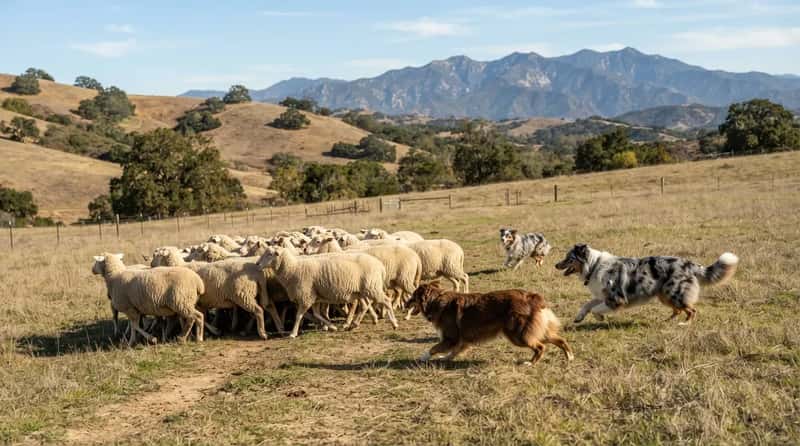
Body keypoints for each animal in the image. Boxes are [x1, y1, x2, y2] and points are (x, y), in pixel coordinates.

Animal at [150, 247, 283, 340]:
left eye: (157, 255)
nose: (151, 265)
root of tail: (257, 271)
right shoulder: (199, 302)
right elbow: (201, 316)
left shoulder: (185, 300)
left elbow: (193, 317)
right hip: (261, 292)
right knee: (269, 306)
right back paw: (280, 328)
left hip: (243, 294)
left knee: (258, 310)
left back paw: (262, 333)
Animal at [256, 246, 398, 338]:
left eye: (270, 254)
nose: (257, 264)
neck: (293, 268)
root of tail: (380, 265)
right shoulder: (313, 296)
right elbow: (318, 314)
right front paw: (332, 327)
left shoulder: (306, 296)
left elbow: (299, 315)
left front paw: (292, 333)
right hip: (363, 290)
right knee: (365, 306)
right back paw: (354, 325)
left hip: (372, 287)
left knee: (386, 301)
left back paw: (394, 324)